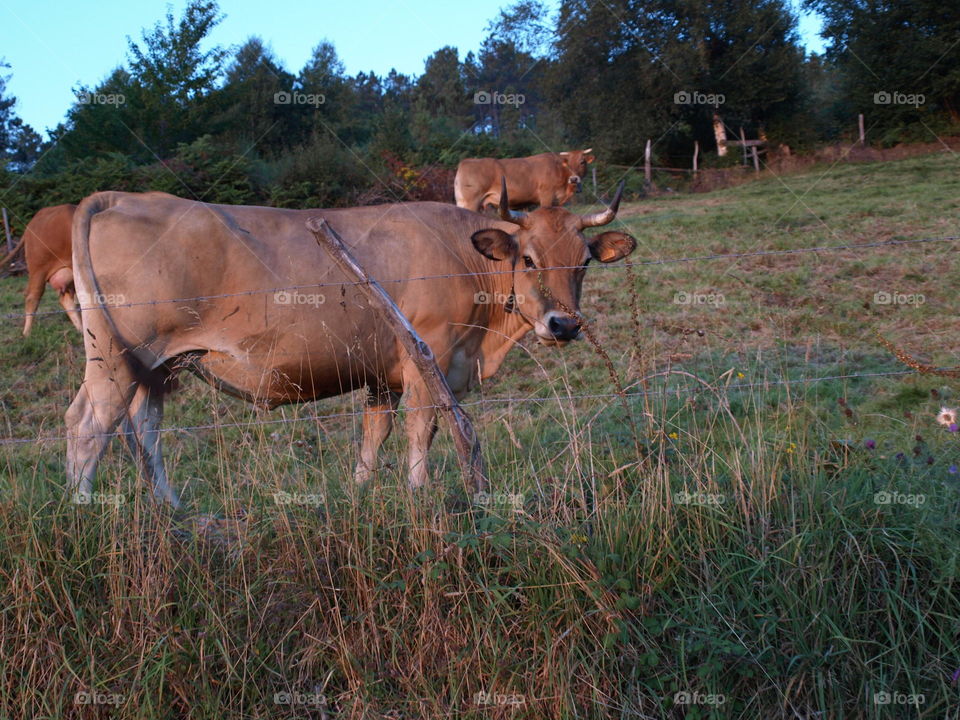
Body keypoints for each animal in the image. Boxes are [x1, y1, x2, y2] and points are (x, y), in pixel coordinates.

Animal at [65, 186, 632, 506]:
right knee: (89, 427)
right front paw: (419, 497)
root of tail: (123, 196)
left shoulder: (384, 373)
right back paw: (82, 511)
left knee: (145, 430)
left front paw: (361, 494)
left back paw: (172, 510)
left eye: (583, 261)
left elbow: (373, 437)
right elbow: (421, 431)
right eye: (530, 259)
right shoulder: (428, 358)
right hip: (117, 358)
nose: (564, 325)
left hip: (156, 367)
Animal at [456, 148, 592, 211]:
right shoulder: (546, 196)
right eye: (567, 163)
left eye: (582, 162)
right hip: (471, 202)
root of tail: (465, 162)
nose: (574, 179)